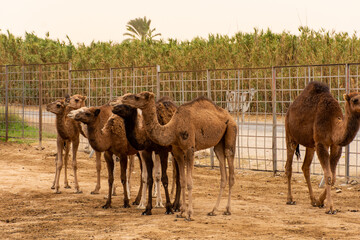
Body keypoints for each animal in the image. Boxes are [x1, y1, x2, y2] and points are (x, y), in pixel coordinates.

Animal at [122, 92, 238, 221]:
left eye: (137, 97)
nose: (124, 98)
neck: (173, 127)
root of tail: (230, 117)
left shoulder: (189, 149)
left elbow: (189, 182)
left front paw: (189, 214)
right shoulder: (177, 151)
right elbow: (182, 181)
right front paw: (181, 212)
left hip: (231, 132)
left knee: (231, 170)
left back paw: (227, 210)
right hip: (218, 144)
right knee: (223, 173)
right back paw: (213, 210)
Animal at [286, 81, 360, 214]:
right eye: (355, 100)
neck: (333, 124)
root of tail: (289, 109)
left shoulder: (336, 146)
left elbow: (333, 177)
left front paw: (320, 201)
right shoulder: (321, 144)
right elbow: (328, 175)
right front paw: (330, 207)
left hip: (311, 145)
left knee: (305, 167)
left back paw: (313, 200)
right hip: (290, 135)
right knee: (288, 166)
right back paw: (290, 199)